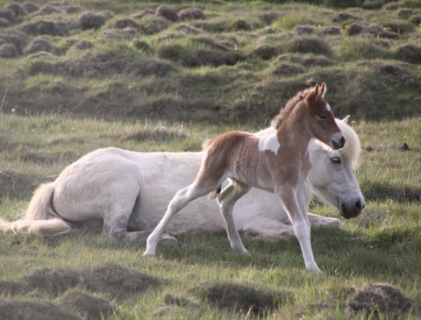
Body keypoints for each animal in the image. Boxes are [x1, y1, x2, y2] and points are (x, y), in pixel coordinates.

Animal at [0, 116, 360, 244]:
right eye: (336, 159)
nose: (357, 205)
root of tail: (57, 184)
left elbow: (326, 225)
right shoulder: (254, 218)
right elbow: (284, 231)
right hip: (123, 185)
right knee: (112, 233)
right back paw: (164, 238)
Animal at [144, 82, 344, 272]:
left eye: (331, 112)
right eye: (322, 115)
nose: (341, 140)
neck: (290, 147)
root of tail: (213, 141)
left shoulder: (299, 189)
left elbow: (305, 225)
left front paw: (313, 265)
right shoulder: (284, 189)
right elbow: (300, 226)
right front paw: (313, 268)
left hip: (241, 184)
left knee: (224, 201)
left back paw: (239, 248)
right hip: (210, 179)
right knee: (180, 198)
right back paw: (150, 247)